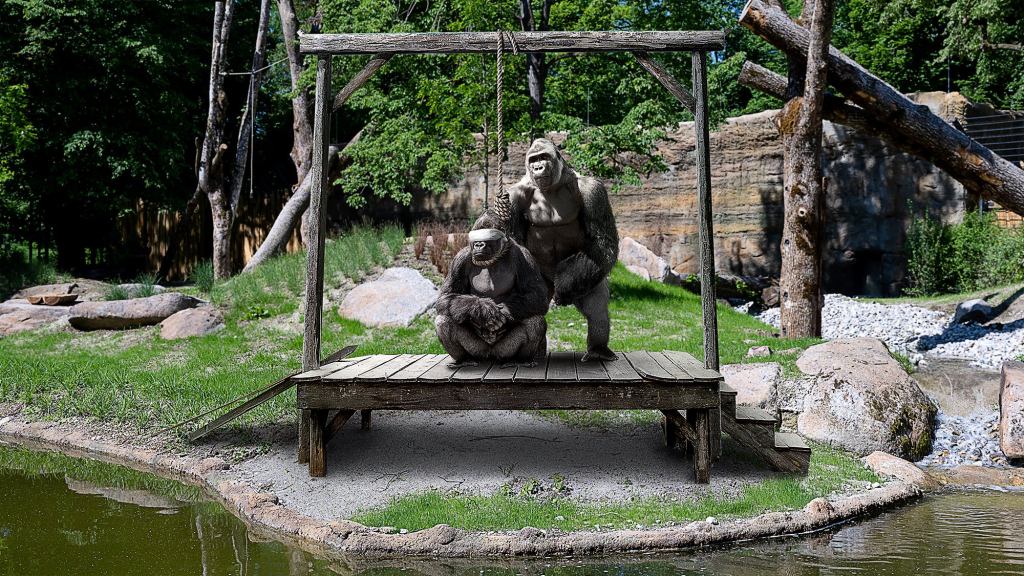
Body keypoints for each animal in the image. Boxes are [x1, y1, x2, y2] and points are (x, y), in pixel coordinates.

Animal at [507, 138, 618, 358]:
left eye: (543, 157)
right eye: (533, 160)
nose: (538, 167)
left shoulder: (592, 190)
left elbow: (602, 241)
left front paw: (567, 284)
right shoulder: (513, 196)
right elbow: (515, 240)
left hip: (588, 279)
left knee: (596, 309)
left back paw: (597, 349)